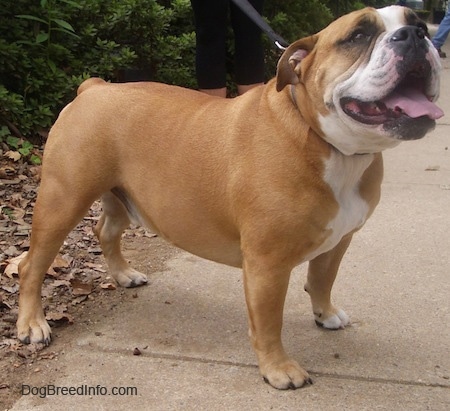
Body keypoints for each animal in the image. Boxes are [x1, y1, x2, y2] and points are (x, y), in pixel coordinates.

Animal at [15, 6, 442, 390]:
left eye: (418, 22)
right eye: (358, 35)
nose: (415, 35)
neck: (328, 143)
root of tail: (95, 87)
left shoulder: (339, 239)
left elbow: (322, 278)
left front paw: (326, 314)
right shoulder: (268, 265)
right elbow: (269, 321)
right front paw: (278, 369)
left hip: (123, 197)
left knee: (106, 230)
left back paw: (123, 274)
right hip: (63, 200)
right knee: (31, 265)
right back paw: (32, 324)